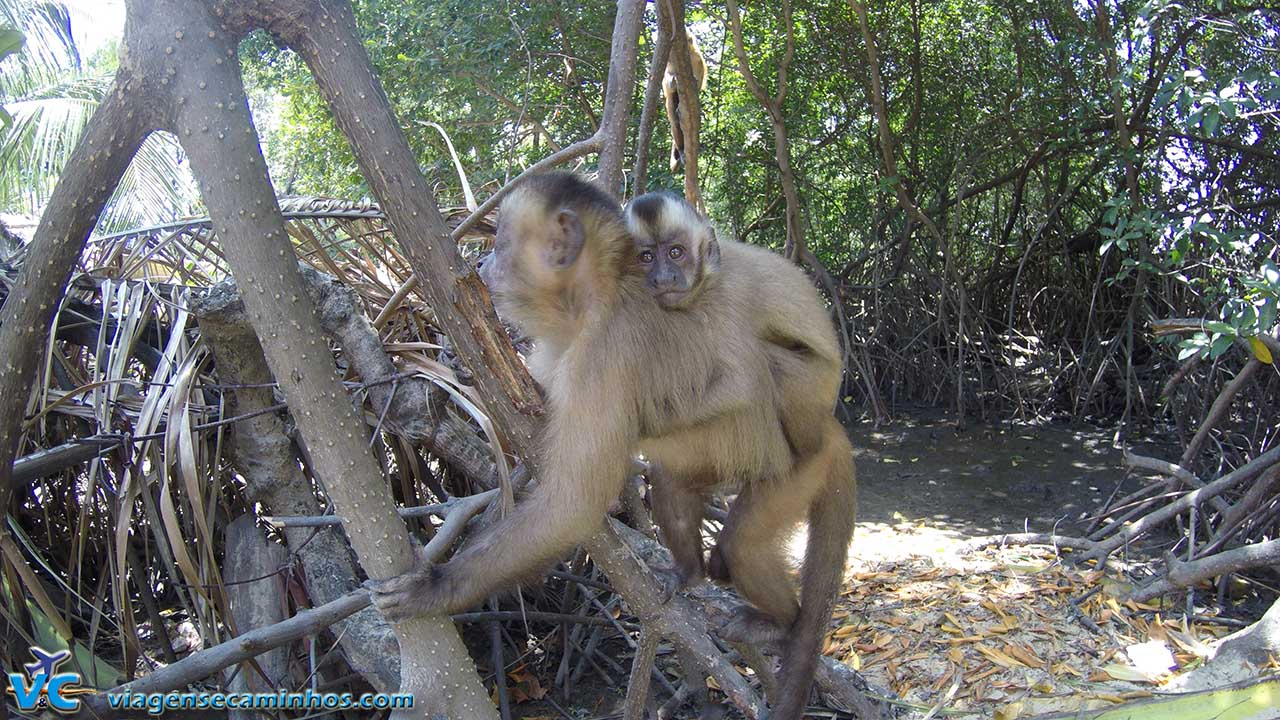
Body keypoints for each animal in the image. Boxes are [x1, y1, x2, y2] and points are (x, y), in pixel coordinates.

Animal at [368, 174, 849, 717]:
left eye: (501, 243)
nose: (483, 265)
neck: (591, 304)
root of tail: (829, 430)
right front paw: (453, 373)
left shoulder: (600, 358)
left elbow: (573, 505)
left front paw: (439, 587)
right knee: (673, 485)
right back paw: (690, 571)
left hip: (794, 469)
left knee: (743, 540)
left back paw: (780, 621)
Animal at [665, 34, 706, 172]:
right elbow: (667, 82)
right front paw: (672, 82)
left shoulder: (697, 59)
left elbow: (699, 78)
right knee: (674, 120)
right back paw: (682, 150)